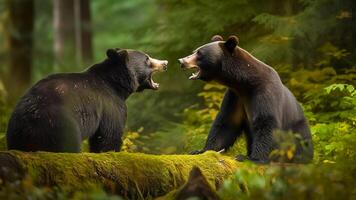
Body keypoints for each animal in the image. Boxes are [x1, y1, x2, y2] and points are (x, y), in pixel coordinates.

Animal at [178, 35, 312, 163]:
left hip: (298, 131)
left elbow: (266, 122)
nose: (181, 61)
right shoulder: (235, 96)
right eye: (195, 51)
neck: (245, 84)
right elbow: (227, 122)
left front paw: (253, 158)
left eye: (199, 53)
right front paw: (200, 150)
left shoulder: (265, 92)